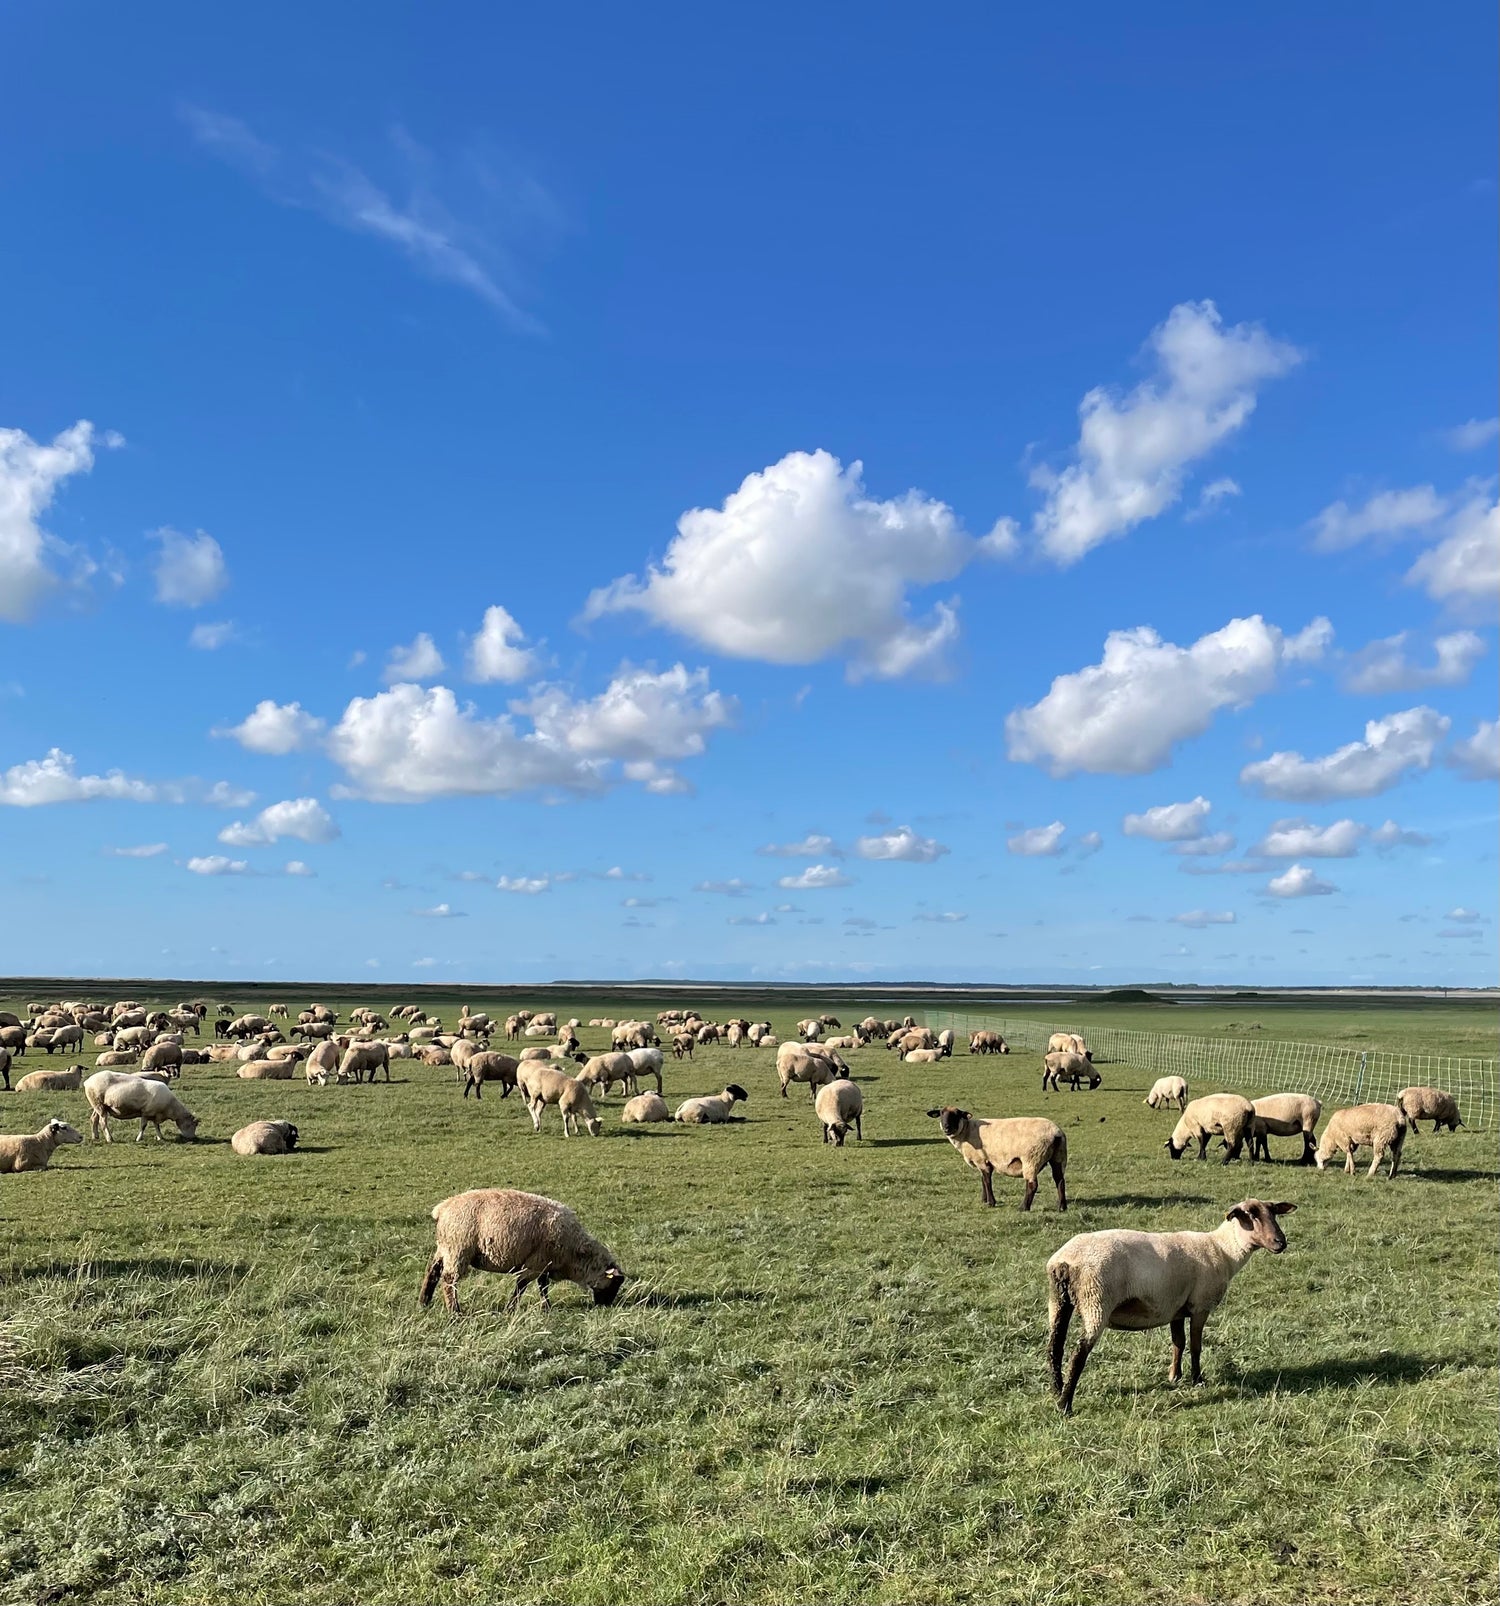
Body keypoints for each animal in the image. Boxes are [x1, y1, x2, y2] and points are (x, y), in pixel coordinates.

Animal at [419, 1188, 625, 1314]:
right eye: (615, 1284)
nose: (606, 1307)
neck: (575, 1254)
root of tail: (443, 1207)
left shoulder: (544, 1264)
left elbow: (543, 1286)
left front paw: (546, 1307)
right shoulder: (536, 1262)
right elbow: (522, 1286)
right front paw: (511, 1309)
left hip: (445, 1247)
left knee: (432, 1271)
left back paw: (424, 1302)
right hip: (458, 1249)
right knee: (448, 1280)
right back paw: (455, 1312)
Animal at [926, 1106, 1068, 1211]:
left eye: (956, 1114)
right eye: (941, 1113)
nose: (947, 1128)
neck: (966, 1132)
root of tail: (1055, 1133)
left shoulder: (982, 1160)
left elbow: (987, 1180)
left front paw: (991, 1203)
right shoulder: (985, 1160)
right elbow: (983, 1180)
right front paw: (984, 1200)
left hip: (1032, 1159)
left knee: (1032, 1184)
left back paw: (1023, 1207)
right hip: (1059, 1156)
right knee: (1060, 1180)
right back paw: (1061, 1207)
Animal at [1046, 1198, 1296, 1414]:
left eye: (1274, 1213)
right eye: (1251, 1215)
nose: (1281, 1242)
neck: (1224, 1250)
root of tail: (1065, 1261)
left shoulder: (1176, 1308)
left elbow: (1178, 1343)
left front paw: (1174, 1376)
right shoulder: (1200, 1306)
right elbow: (1195, 1346)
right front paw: (1197, 1380)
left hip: (1058, 1301)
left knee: (1054, 1347)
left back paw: (1057, 1390)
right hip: (1096, 1301)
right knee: (1078, 1354)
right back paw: (1065, 1405)